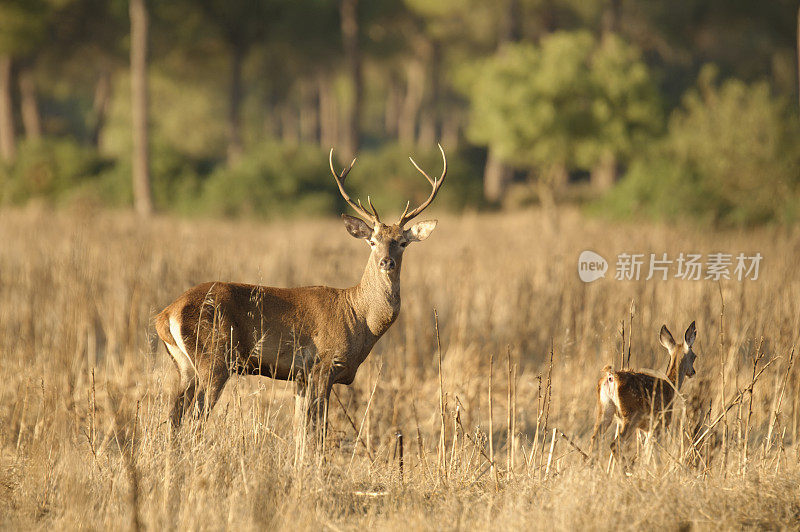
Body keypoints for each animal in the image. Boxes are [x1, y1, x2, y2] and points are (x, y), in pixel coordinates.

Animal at [153, 145, 446, 436]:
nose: (387, 262)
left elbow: (300, 430)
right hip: (214, 358)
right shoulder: (323, 365)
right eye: (372, 241)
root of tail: (165, 315)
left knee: (174, 416)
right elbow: (317, 430)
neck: (360, 318)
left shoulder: (301, 377)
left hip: (185, 366)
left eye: (403, 242)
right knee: (195, 418)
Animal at [588, 320, 700, 458]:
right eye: (694, 356)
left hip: (605, 409)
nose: (693, 372)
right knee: (615, 444)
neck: (670, 387)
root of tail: (611, 377)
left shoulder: (648, 429)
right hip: (631, 415)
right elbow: (651, 452)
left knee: (595, 439)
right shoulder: (660, 424)